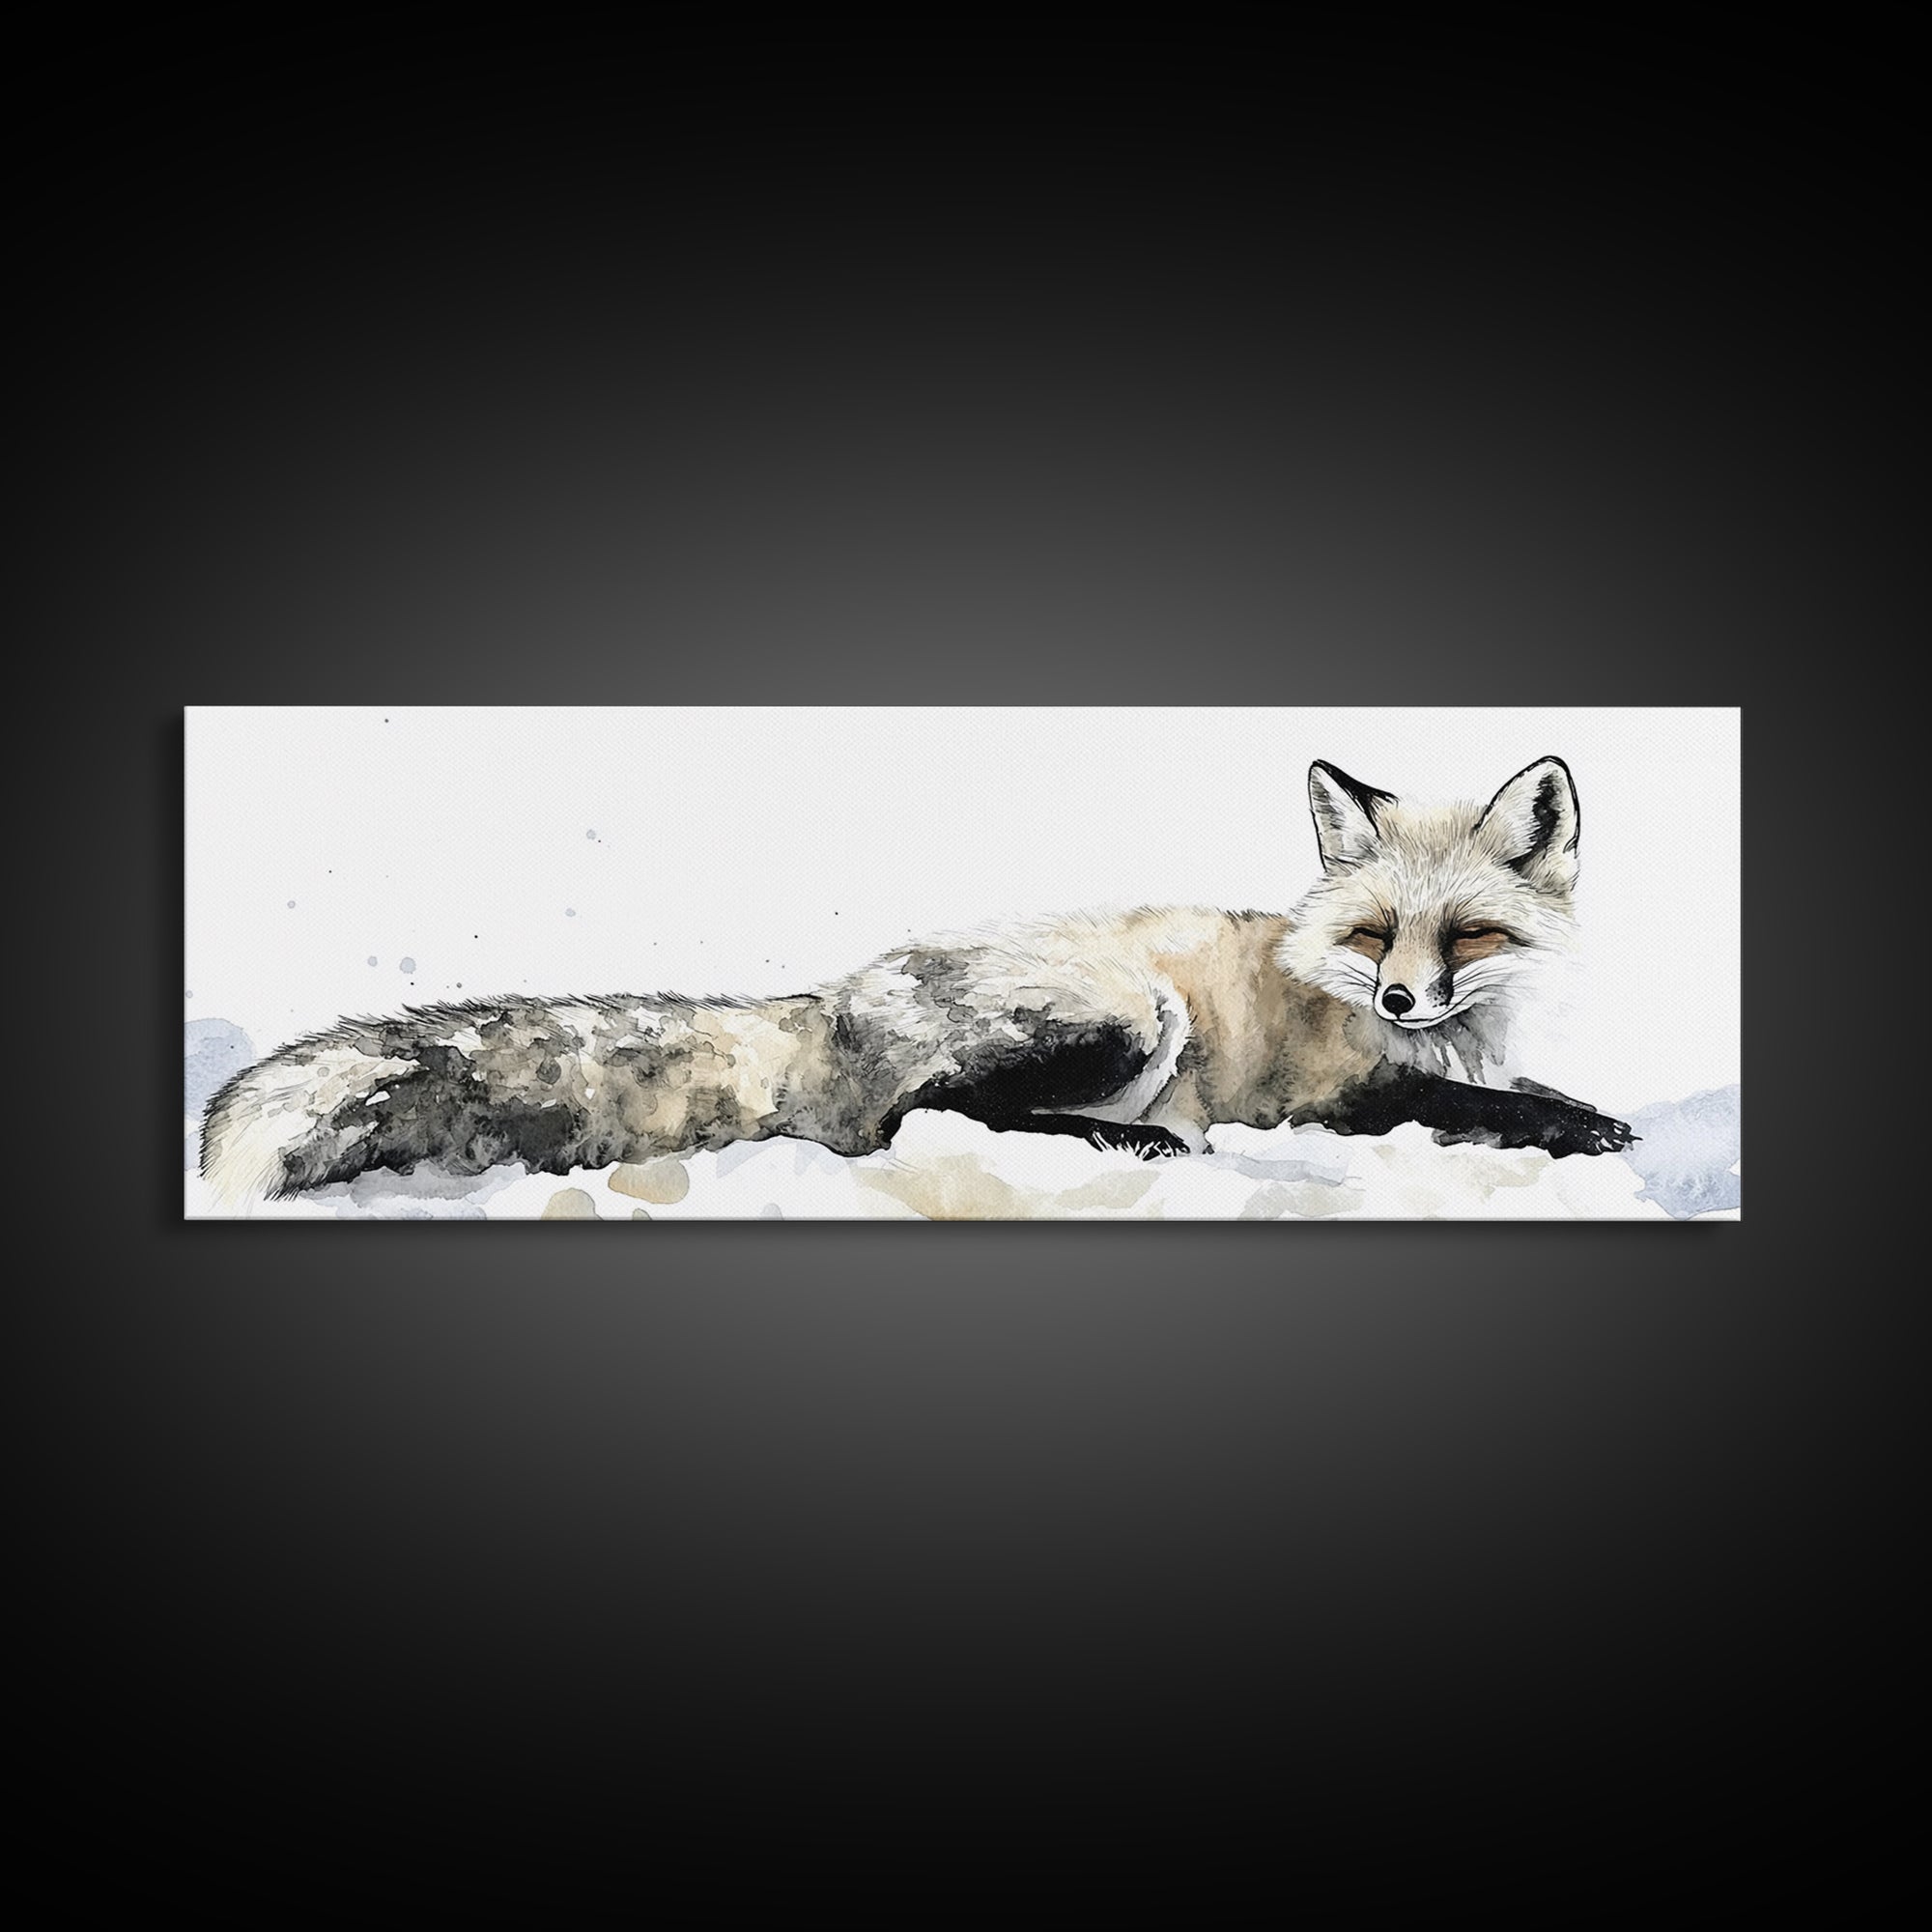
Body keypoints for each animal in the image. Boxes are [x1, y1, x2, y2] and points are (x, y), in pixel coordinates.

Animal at [200, 754, 1635, 1204]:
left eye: (1466, 937)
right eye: (1376, 934)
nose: (1398, 1000)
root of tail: (834, 1000)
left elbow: (1530, 1092)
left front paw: (1587, 1112)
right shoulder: (1336, 1096)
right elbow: (1483, 1110)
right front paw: (1585, 1133)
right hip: (1135, 1015)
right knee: (909, 1118)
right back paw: (1130, 1145)